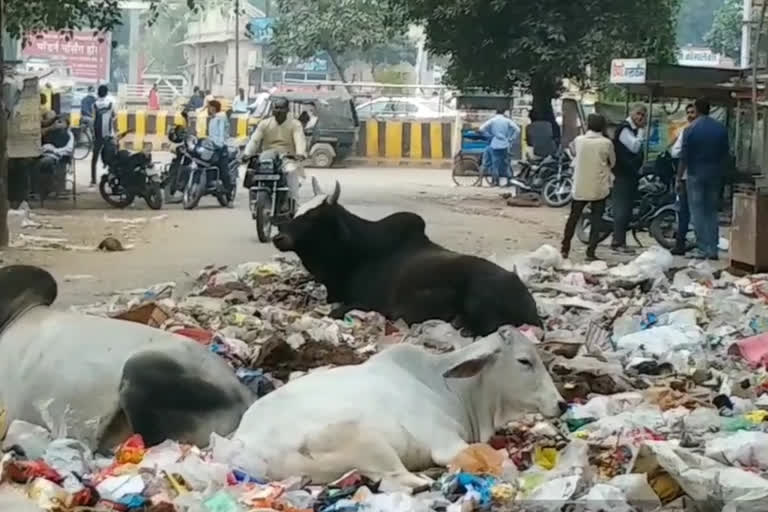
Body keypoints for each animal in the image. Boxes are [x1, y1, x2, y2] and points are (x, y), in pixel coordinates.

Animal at [226, 326, 564, 486]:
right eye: (524, 361)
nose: (561, 404)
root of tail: (242, 446)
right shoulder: (445, 442)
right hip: (364, 440)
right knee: (401, 478)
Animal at [272, 180, 544, 336]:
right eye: (298, 211)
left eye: (314, 216)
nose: (278, 237)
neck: (355, 251)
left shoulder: (371, 305)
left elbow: (335, 312)